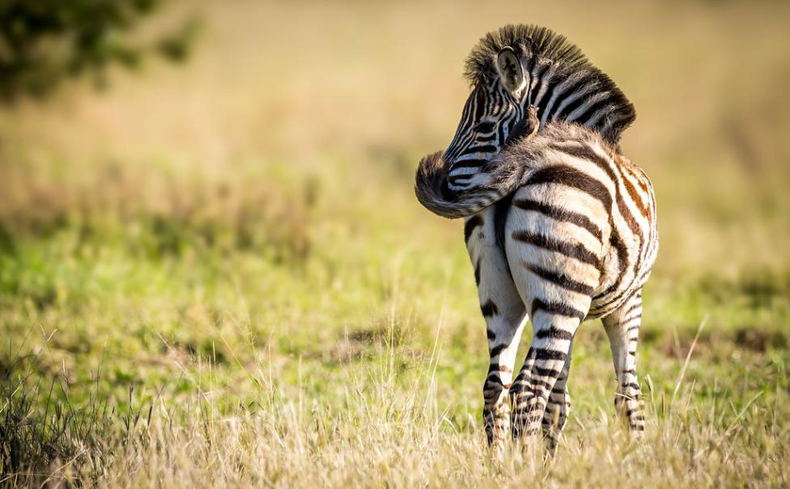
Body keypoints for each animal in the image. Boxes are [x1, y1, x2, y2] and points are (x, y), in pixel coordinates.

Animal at [414, 25, 658, 452]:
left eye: (481, 128)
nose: (443, 186)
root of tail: (528, 158)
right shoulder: (629, 301)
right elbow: (627, 393)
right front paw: (638, 455)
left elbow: (560, 401)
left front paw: (550, 456)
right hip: (561, 297)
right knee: (528, 389)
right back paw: (522, 464)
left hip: (504, 296)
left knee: (496, 386)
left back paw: (501, 463)